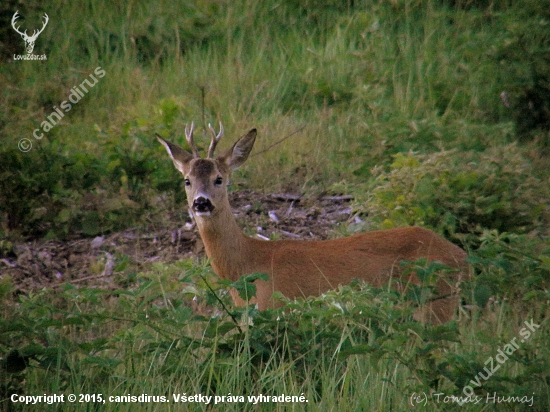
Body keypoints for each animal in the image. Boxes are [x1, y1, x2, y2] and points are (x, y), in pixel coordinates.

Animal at [158, 124, 470, 324]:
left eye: (219, 179)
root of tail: (461, 255)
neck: (248, 265)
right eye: (187, 180)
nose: (201, 203)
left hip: (436, 300)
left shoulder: (278, 306)